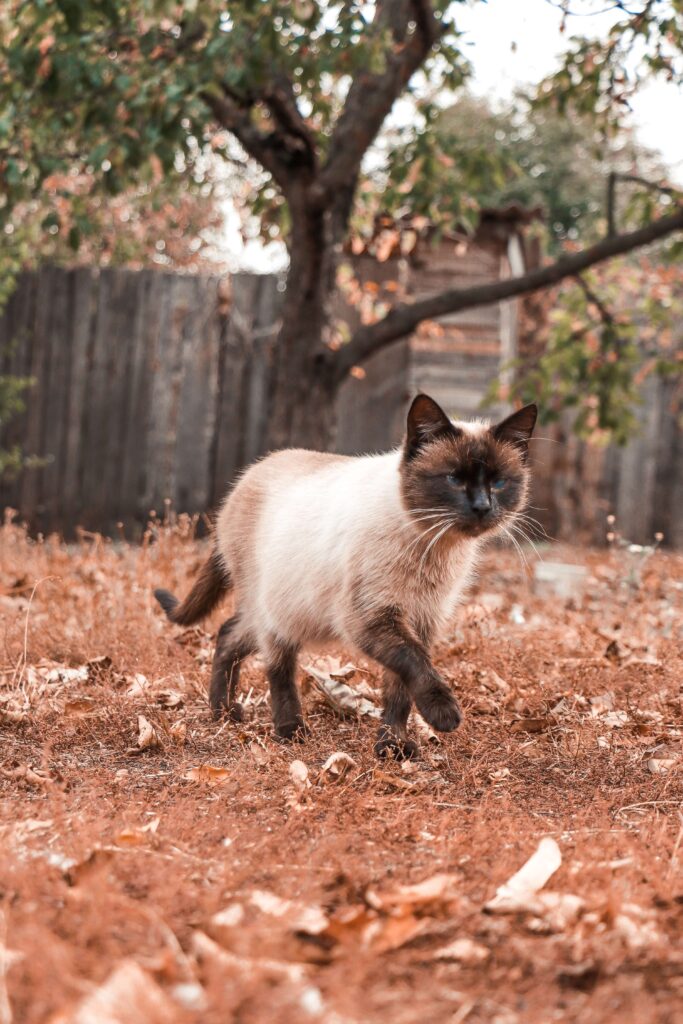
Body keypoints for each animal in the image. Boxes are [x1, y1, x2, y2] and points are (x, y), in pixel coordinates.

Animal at [156, 395, 540, 757]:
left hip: (286, 613)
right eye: (454, 479)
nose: (482, 507)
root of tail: (244, 480)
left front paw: (392, 748)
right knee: (277, 666)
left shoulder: (421, 618)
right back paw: (289, 730)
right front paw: (443, 716)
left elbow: (399, 689)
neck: (433, 545)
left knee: (227, 634)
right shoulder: (372, 618)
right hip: (278, 613)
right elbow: (415, 665)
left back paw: (224, 712)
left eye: (499, 482)